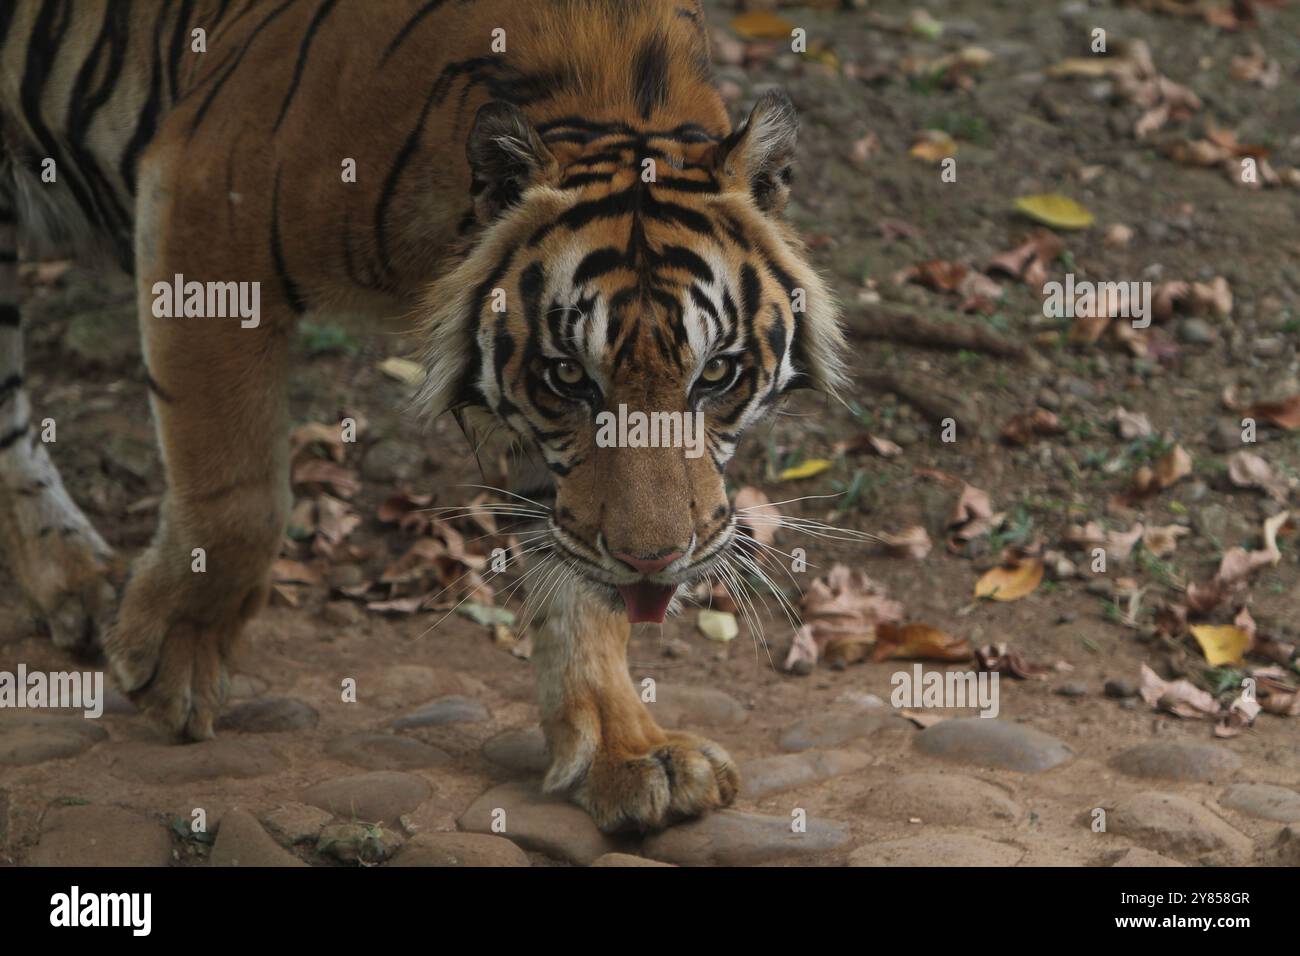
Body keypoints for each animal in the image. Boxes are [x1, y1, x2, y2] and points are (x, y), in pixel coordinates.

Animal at [0, 0, 842, 832]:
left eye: (716, 374)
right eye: (569, 377)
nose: (653, 562)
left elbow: (575, 573)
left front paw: (627, 748)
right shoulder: (205, 206)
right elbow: (237, 495)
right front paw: (173, 659)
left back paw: (73, 578)